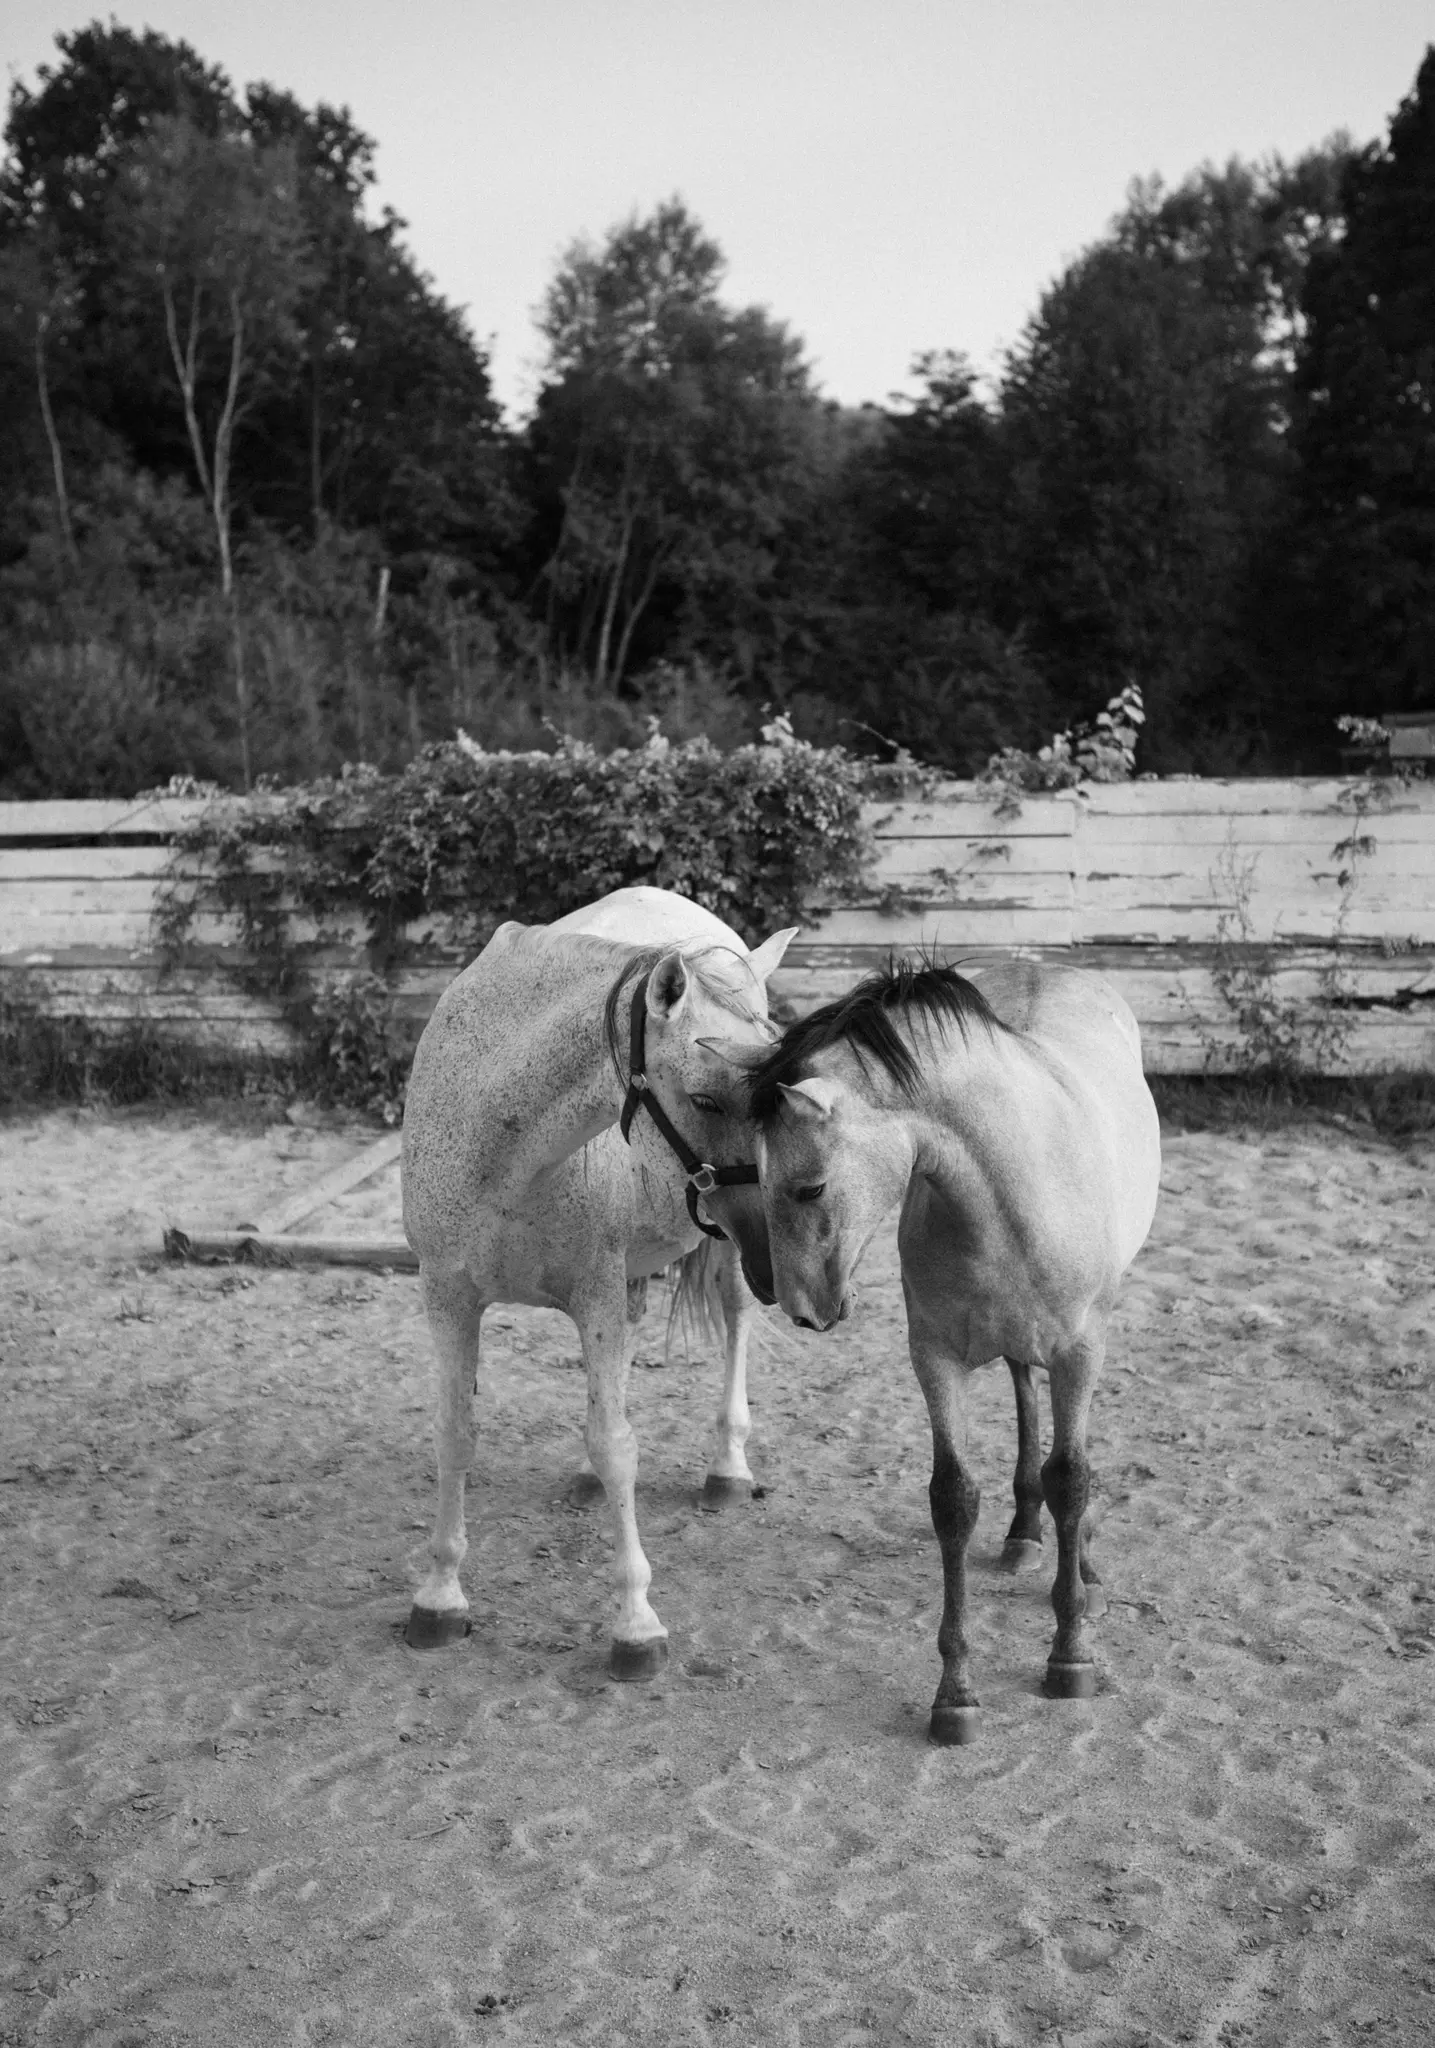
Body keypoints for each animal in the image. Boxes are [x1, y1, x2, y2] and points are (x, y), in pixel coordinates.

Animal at [400, 886, 796, 1678]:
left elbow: (618, 1446)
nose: (777, 1233)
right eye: (706, 1099)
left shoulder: (596, 1299)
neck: (505, 1152)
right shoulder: (449, 1298)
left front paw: (635, 1624)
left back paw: (727, 1468)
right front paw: (439, 1595)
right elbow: (456, 1436)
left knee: (736, 1325)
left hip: (720, 1262)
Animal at [709, 955, 1161, 1745]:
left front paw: (1069, 1653)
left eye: (810, 1186)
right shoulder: (936, 1362)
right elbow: (952, 1500)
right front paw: (955, 1695)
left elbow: (1074, 1479)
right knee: (1023, 1390)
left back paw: (1080, 1565)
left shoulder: (1079, 1352)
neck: (1016, 1185)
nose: (798, 1309)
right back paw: (1024, 1532)